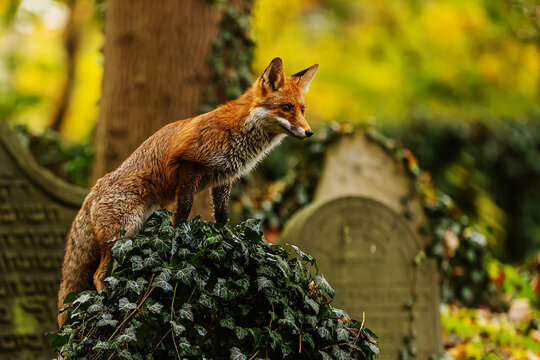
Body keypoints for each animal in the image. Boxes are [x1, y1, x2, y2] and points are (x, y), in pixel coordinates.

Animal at [57, 57, 318, 326]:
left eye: (302, 109)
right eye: (286, 108)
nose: (309, 132)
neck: (240, 131)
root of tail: (93, 190)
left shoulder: (224, 177)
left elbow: (222, 216)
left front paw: (226, 237)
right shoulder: (188, 165)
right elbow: (183, 211)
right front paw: (178, 239)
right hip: (123, 232)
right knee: (98, 275)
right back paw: (107, 304)